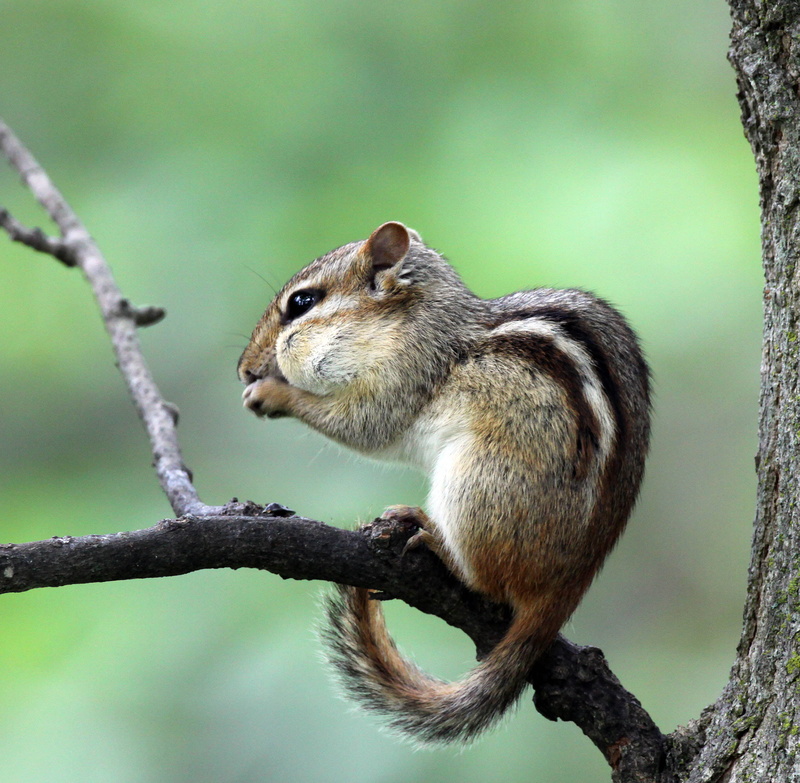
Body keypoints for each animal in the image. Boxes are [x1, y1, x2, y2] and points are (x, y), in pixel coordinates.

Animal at [237, 221, 651, 744]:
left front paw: (273, 393)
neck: (416, 320)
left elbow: (365, 426)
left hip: (475, 485)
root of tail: (571, 581)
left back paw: (431, 536)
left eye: (301, 303)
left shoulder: (404, 376)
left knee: (489, 583)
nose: (244, 368)